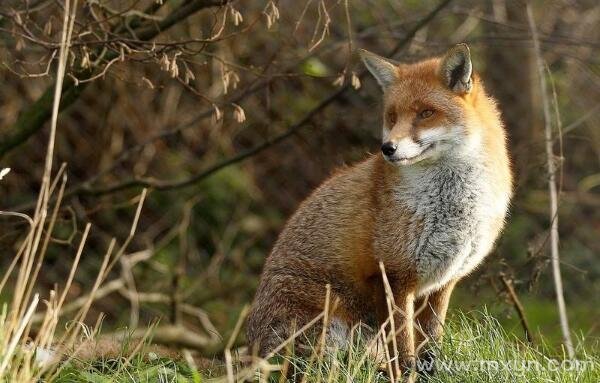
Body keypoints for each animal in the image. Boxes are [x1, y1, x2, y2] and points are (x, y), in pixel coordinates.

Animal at [246, 43, 512, 380]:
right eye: (393, 117)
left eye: (426, 113)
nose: (388, 148)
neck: (451, 205)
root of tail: (248, 355)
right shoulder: (394, 278)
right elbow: (404, 350)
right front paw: (406, 377)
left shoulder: (443, 282)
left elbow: (431, 346)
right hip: (331, 325)